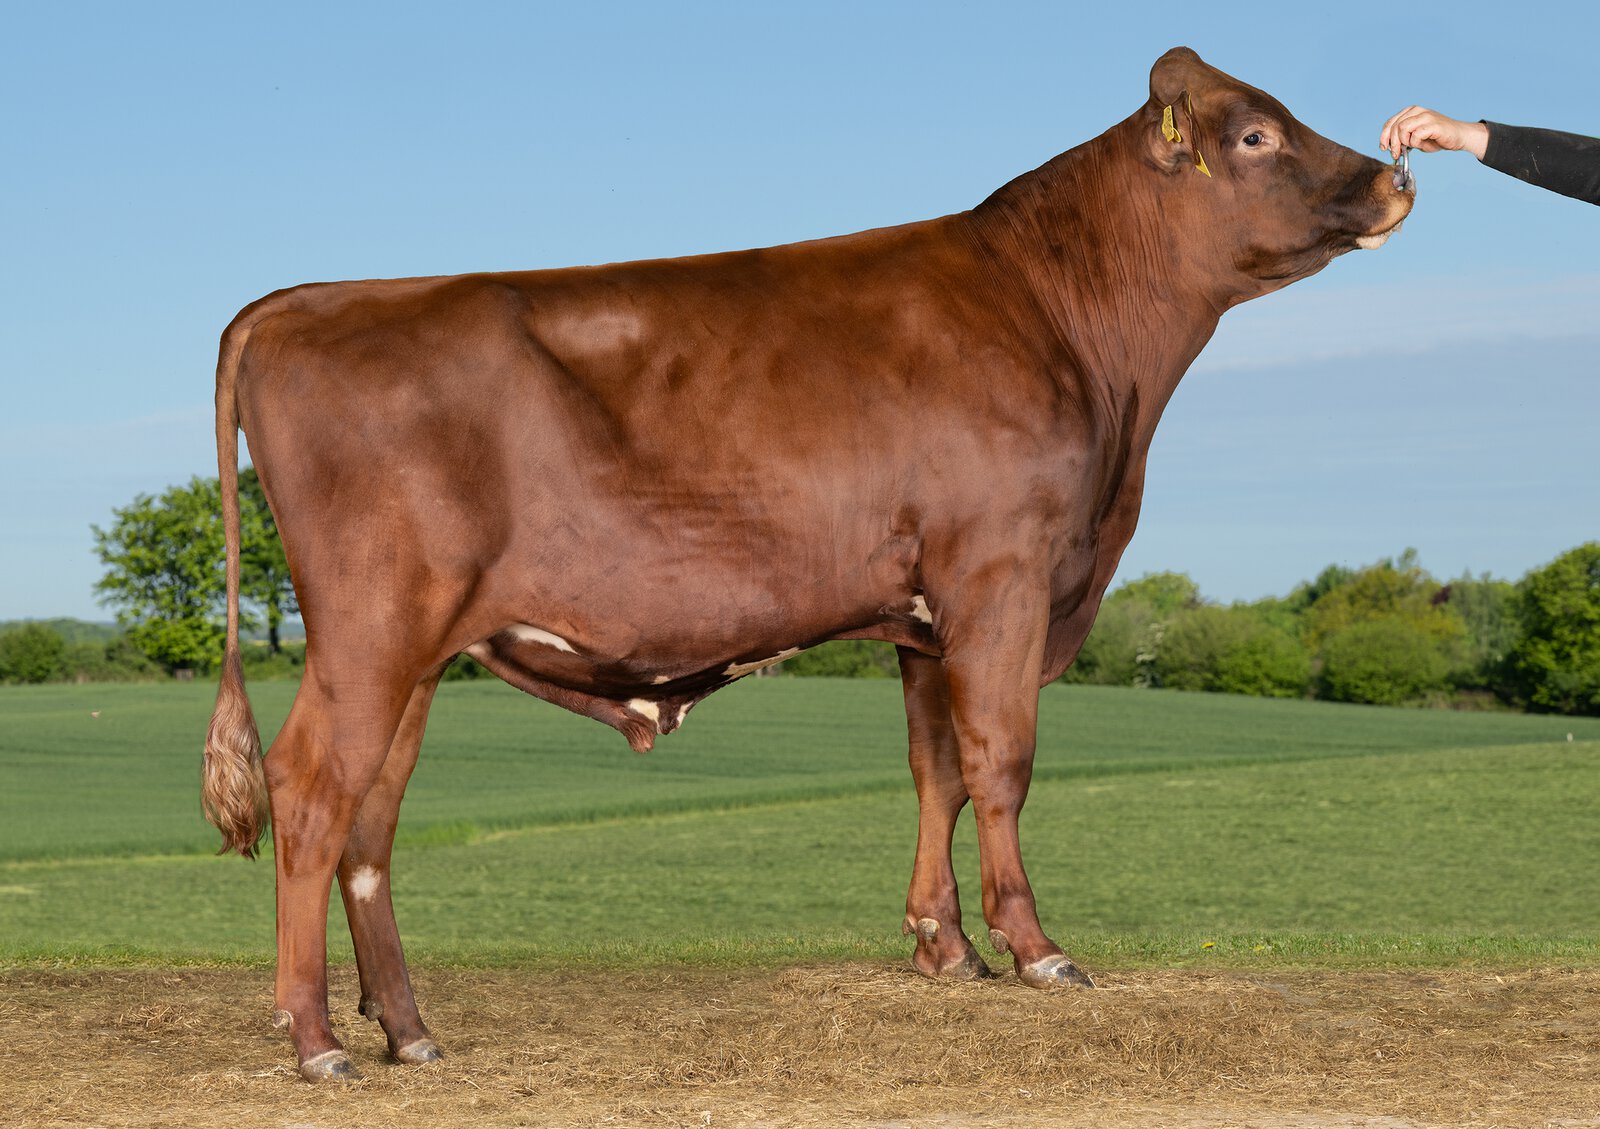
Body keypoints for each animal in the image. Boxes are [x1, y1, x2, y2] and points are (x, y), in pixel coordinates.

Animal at [203, 47, 1413, 1081]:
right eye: (1255, 134)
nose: (1395, 176)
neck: (1075, 331)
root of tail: (300, 302)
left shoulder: (926, 615)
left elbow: (937, 769)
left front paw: (945, 948)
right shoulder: (1004, 576)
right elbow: (1002, 760)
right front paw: (1035, 949)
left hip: (414, 649)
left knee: (370, 822)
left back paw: (409, 1031)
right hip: (370, 627)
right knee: (310, 789)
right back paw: (316, 1038)